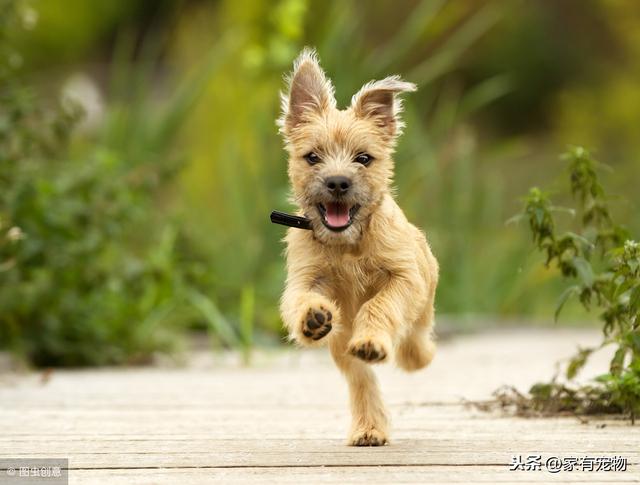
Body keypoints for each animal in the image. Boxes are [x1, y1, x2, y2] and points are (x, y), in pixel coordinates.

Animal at [278, 49, 438, 446]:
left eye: (363, 158)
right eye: (312, 157)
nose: (338, 182)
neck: (347, 245)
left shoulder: (404, 277)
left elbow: (379, 305)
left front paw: (375, 337)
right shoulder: (305, 279)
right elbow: (300, 299)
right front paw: (312, 317)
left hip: (423, 302)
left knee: (415, 340)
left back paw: (410, 354)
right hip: (341, 345)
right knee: (361, 378)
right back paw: (369, 427)